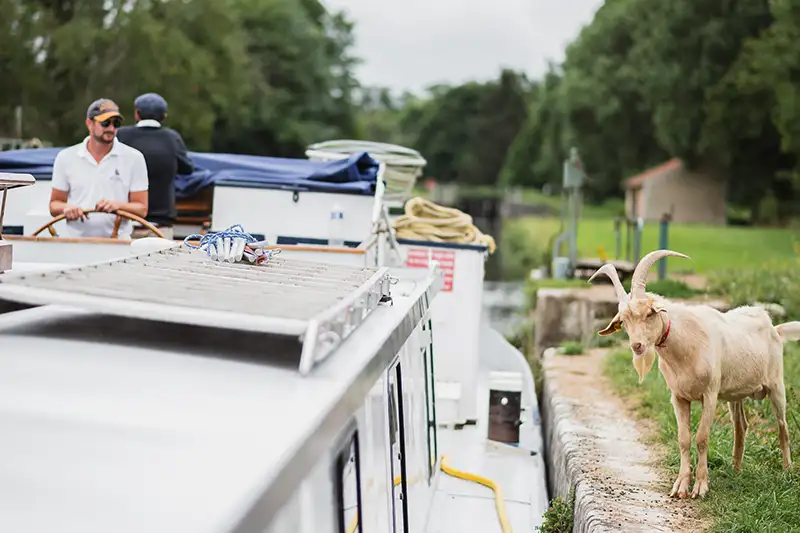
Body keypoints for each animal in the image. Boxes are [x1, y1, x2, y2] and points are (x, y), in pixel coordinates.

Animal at [588, 249, 800, 498]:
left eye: (649, 313)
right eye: (623, 321)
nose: (637, 346)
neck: (686, 346)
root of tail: (773, 327)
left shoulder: (710, 394)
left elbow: (701, 437)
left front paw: (700, 487)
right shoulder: (678, 397)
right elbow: (683, 439)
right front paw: (680, 486)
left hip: (776, 385)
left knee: (783, 427)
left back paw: (786, 471)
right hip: (734, 394)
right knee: (741, 426)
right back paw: (736, 470)